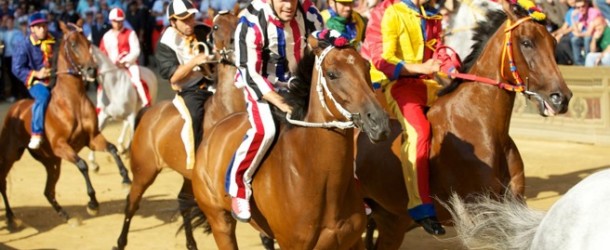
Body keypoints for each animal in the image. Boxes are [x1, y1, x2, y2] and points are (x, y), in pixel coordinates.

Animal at [0, 21, 131, 230]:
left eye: (88, 43)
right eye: (73, 45)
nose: (91, 70)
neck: (72, 102)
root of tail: (15, 109)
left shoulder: (92, 138)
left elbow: (112, 149)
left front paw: (126, 179)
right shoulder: (61, 146)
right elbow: (82, 164)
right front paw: (93, 203)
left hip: (51, 162)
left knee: (48, 191)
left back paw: (67, 216)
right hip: (11, 155)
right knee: (2, 182)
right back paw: (12, 218)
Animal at [114, 12, 240, 250]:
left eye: (239, 21)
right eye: (216, 27)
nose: (235, 46)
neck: (227, 109)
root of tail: (149, 113)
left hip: (185, 176)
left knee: (182, 201)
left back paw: (191, 243)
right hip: (144, 172)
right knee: (131, 203)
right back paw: (119, 242)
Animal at [191, 35, 390, 250]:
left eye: (366, 66)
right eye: (332, 74)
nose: (379, 121)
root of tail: (213, 132)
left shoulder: (352, 240)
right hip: (220, 221)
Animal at [354, 1, 572, 248]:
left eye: (553, 42)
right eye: (526, 42)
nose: (561, 97)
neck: (477, 123)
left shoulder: (513, 206)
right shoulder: (478, 216)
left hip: (392, 220)